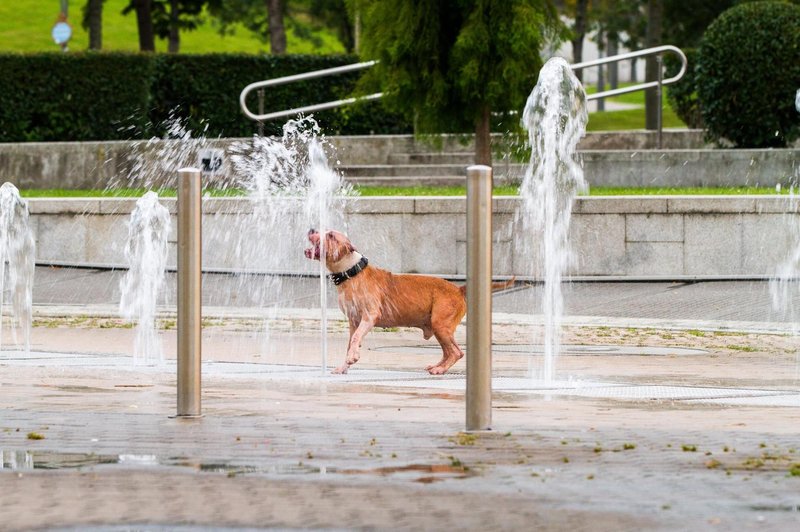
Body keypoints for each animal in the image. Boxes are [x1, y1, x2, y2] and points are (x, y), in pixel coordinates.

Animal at [304, 229, 516, 374]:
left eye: (331, 235)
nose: (312, 229)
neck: (352, 272)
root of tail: (458, 289)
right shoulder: (353, 321)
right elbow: (351, 342)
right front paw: (344, 365)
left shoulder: (369, 316)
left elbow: (356, 338)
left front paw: (353, 357)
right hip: (439, 327)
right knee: (448, 351)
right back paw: (437, 366)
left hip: (441, 323)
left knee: (456, 352)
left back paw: (440, 369)